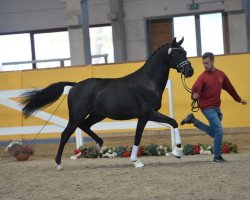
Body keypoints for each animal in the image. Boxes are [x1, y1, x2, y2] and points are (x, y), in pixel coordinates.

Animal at [21, 37, 193, 169]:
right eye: (176, 53)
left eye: (184, 52)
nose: (189, 71)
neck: (147, 82)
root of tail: (75, 85)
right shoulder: (147, 114)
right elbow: (145, 133)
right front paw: (138, 161)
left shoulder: (145, 116)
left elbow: (171, 123)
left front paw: (177, 152)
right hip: (77, 115)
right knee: (65, 134)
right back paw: (58, 164)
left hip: (97, 115)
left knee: (85, 126)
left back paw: (98, 147)